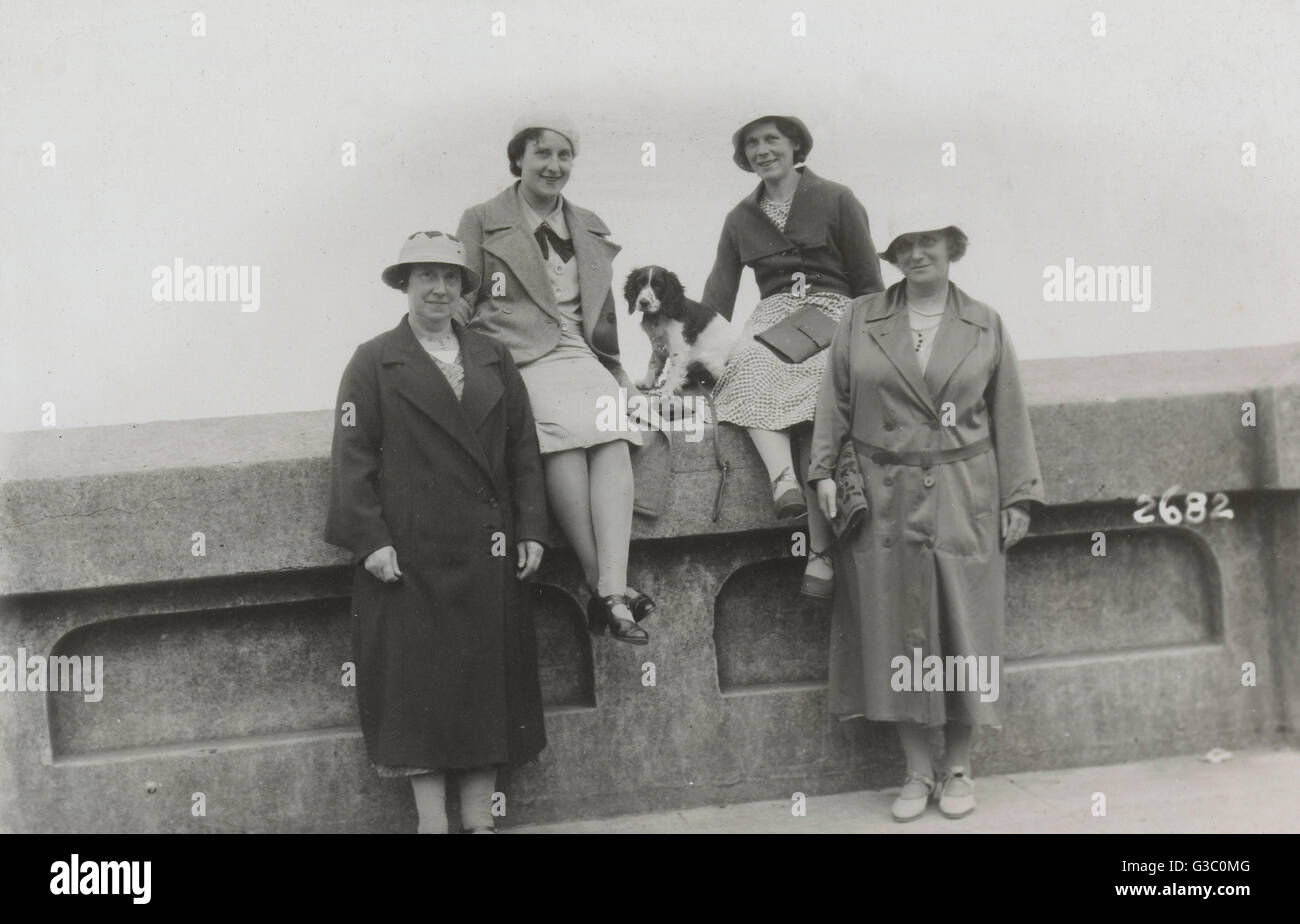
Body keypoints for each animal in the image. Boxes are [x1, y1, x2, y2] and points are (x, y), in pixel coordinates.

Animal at [626, 267, 738, 397]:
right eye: (639, 283)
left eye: (658, 285)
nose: (644, 302)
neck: (660, 315)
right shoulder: (658, 345)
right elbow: (652, 364)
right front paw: (646, 383)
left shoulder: (678, 348)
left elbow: (673, 370)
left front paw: (665, 390)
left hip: (711, 362)